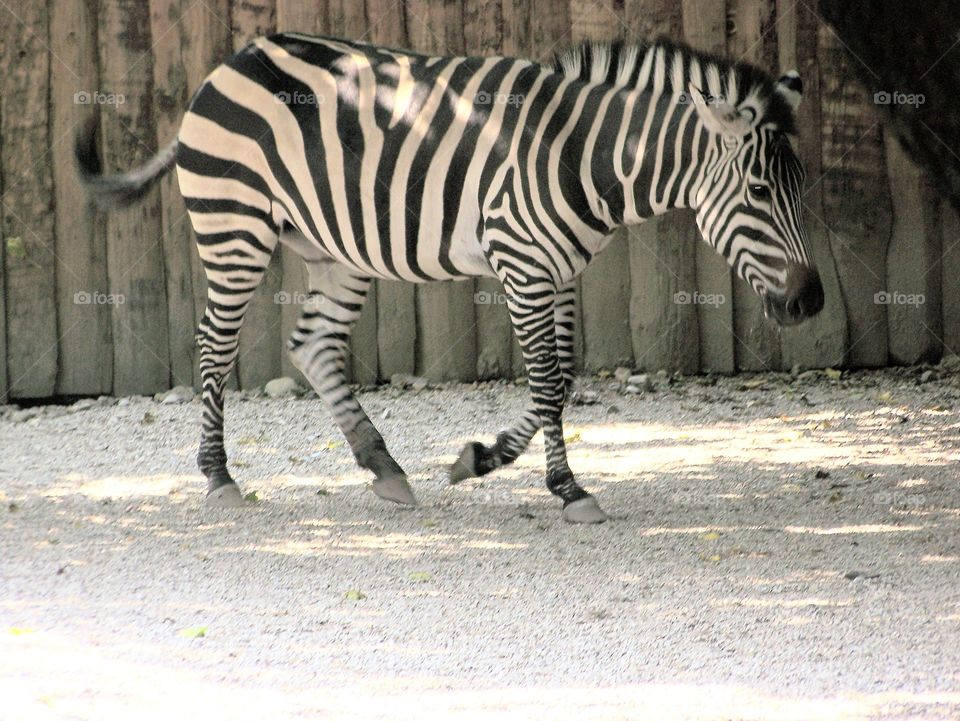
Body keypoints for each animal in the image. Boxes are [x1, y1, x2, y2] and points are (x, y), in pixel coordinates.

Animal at [75, 33, 823, 523]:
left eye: (799, 186)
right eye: (760, 191)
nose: (810, 301)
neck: (582, 156)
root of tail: (231, 60)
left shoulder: (561, 272)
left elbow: (563, 380)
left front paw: (493, 462)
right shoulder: (522, 262)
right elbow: (546, 382)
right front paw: (554, 485)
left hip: (335, 250)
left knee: (313, 345)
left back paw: (383, 467)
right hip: (234, 227)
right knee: (213, 344)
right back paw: (219, 475)